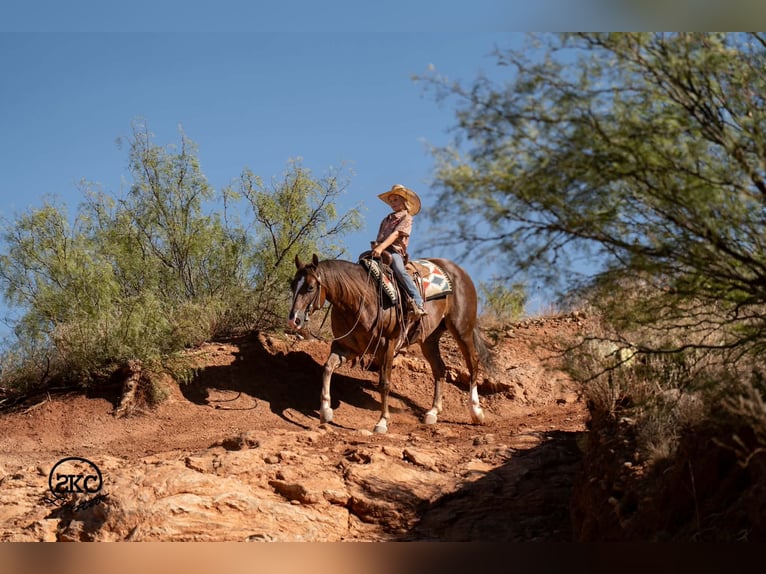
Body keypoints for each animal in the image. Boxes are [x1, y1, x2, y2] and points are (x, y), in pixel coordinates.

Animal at [287, 253, 491, 434]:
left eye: (310, 287)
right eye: (292, 285)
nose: (294, 320)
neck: (359, 299)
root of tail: (459, 271)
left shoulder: (387, 345)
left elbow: (384, 383)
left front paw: (382, 422)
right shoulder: (345, 347)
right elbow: (327, 368)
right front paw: (325, 411)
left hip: (462, 330)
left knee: (473, 364)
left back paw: (476, 412)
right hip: (429, 339)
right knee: (440, 369)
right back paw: (433, 412)